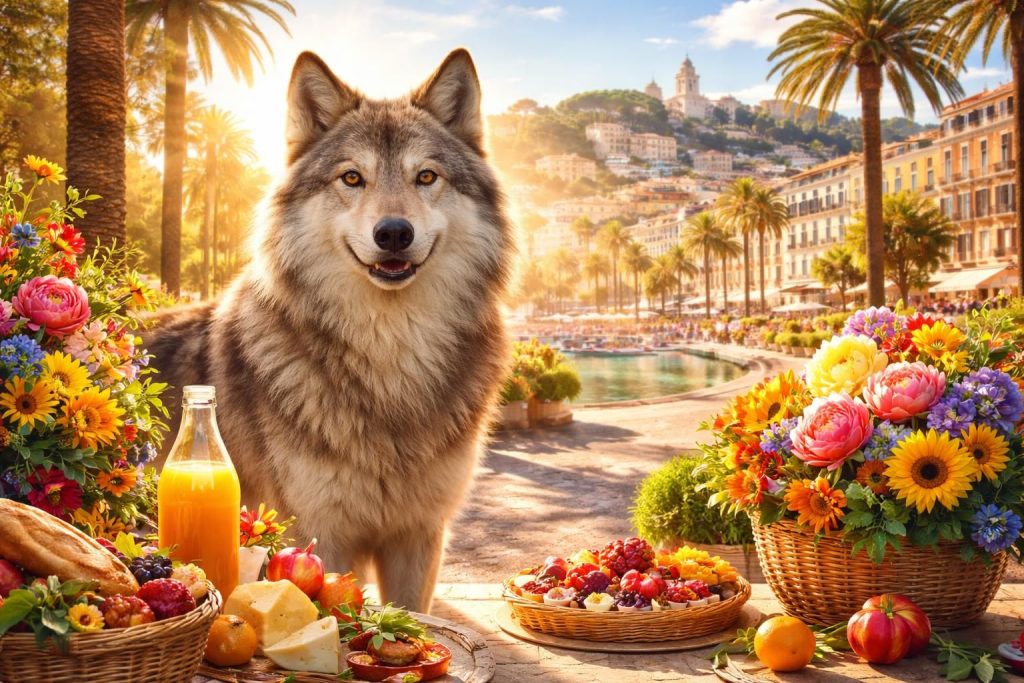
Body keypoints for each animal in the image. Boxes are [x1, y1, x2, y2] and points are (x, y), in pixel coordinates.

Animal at [145, 49, 514, 612]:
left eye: (427, 177)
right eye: (352, 178)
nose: (393, 233)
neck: (391, 358)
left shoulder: (418, 537)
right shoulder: (317, 535)